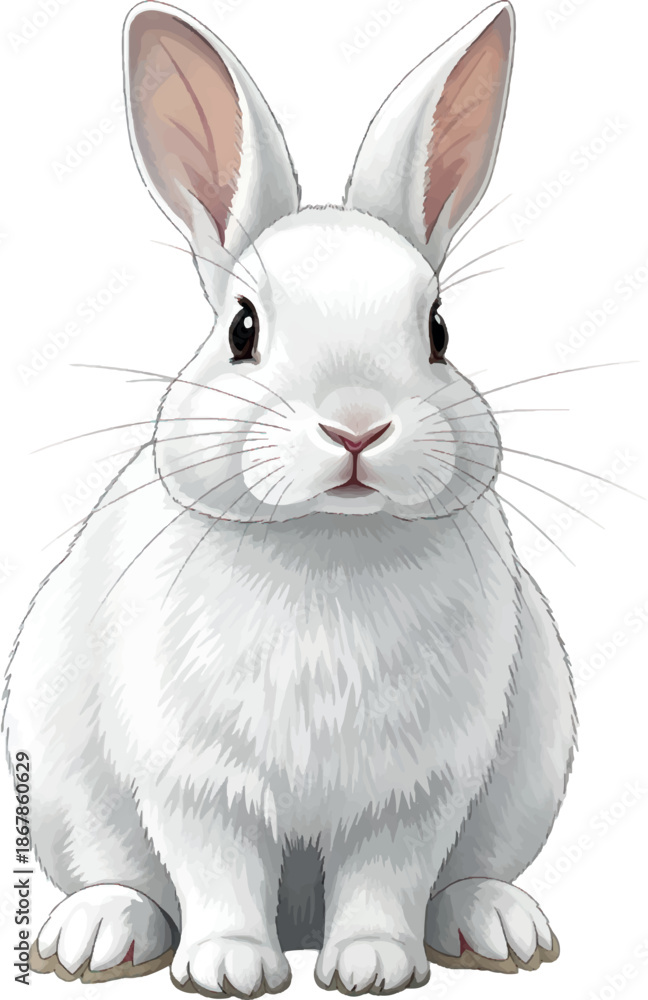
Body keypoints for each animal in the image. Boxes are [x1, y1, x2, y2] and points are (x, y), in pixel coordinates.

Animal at [3, 1, 577, 996]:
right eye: (242, 328)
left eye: (438, 330)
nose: (355, 428)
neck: (328, 544)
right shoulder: (197, 781)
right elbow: (219, 867)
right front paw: (230, 968)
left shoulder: (415, 792)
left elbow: (387, 874)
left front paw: (374, 966)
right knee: (122, 877)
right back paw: (97, 934)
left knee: (460, 875)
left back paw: (494, 925)